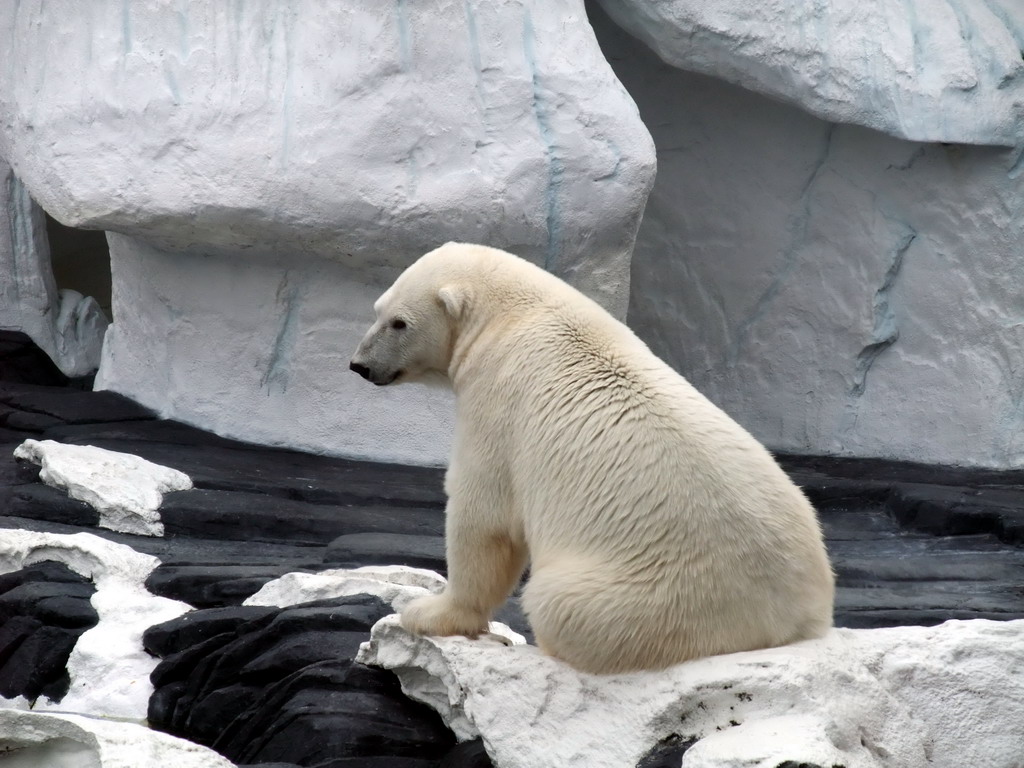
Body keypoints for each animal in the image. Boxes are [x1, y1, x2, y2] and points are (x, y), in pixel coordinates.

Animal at [350, 241, 831, 671]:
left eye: (399, 322)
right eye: (376, 310)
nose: (359, 365)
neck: (512, 315)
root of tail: (781, 622)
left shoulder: (497, 400)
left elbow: (485, 513)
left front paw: (429, 613)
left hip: (648, 597)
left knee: (560, 605)